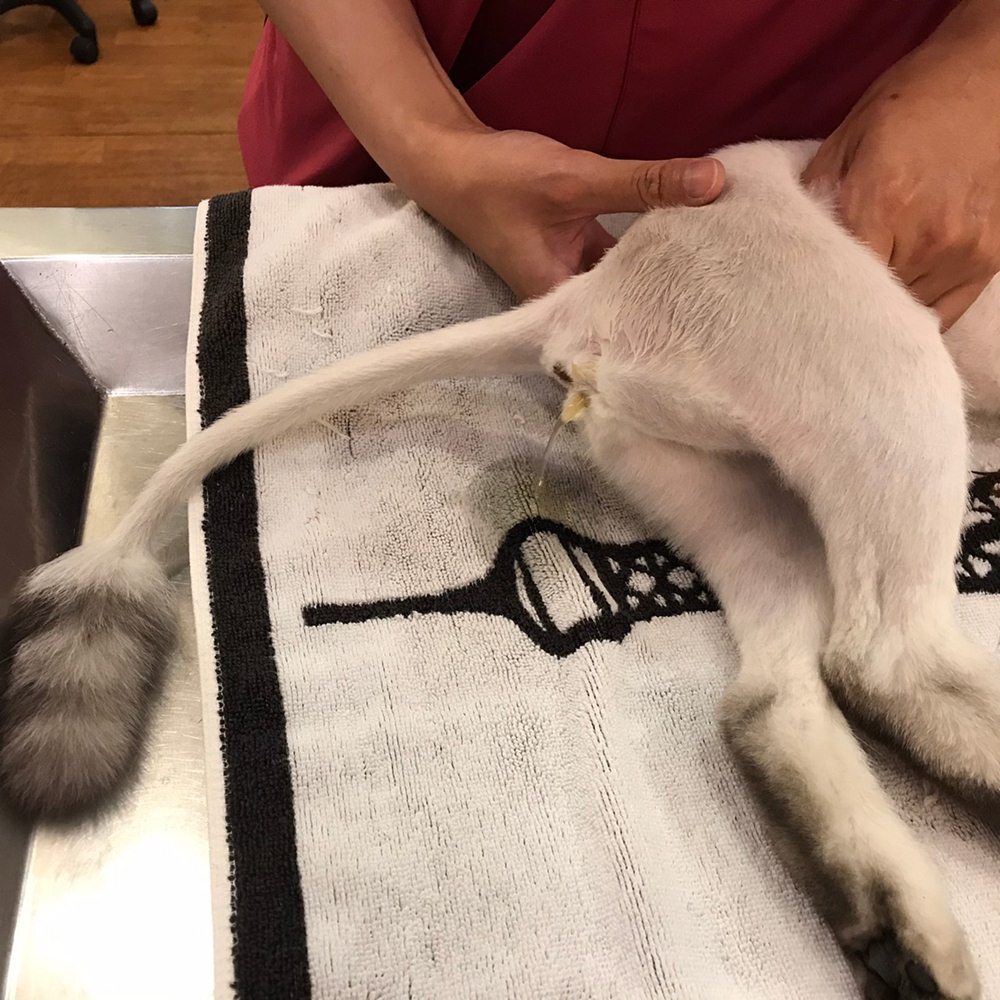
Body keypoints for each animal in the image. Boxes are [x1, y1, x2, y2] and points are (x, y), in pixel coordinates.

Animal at [3, 138, 999, 1000]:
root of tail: (594, 288)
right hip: (887, 389)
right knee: (879, 654)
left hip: (742, 493)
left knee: (774, 695)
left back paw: (905, 940)